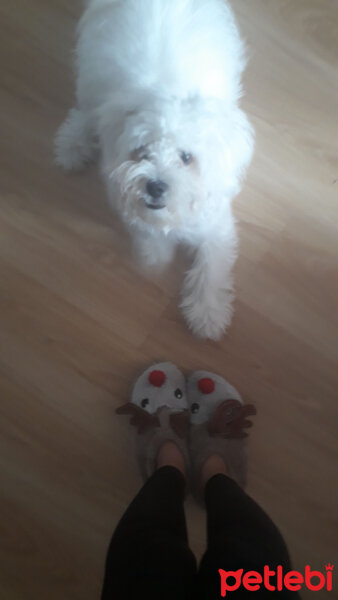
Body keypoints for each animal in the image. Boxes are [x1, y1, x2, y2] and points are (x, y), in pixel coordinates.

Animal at [55, 0, 255, 338]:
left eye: (186, 157)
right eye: (142, 151)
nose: (155, 186)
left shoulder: (215, 223)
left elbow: (212, 264)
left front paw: (207, 313)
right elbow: (149, 234)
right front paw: (156, 255)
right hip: (93, 68)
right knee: (87, 110)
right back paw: (73, 143)